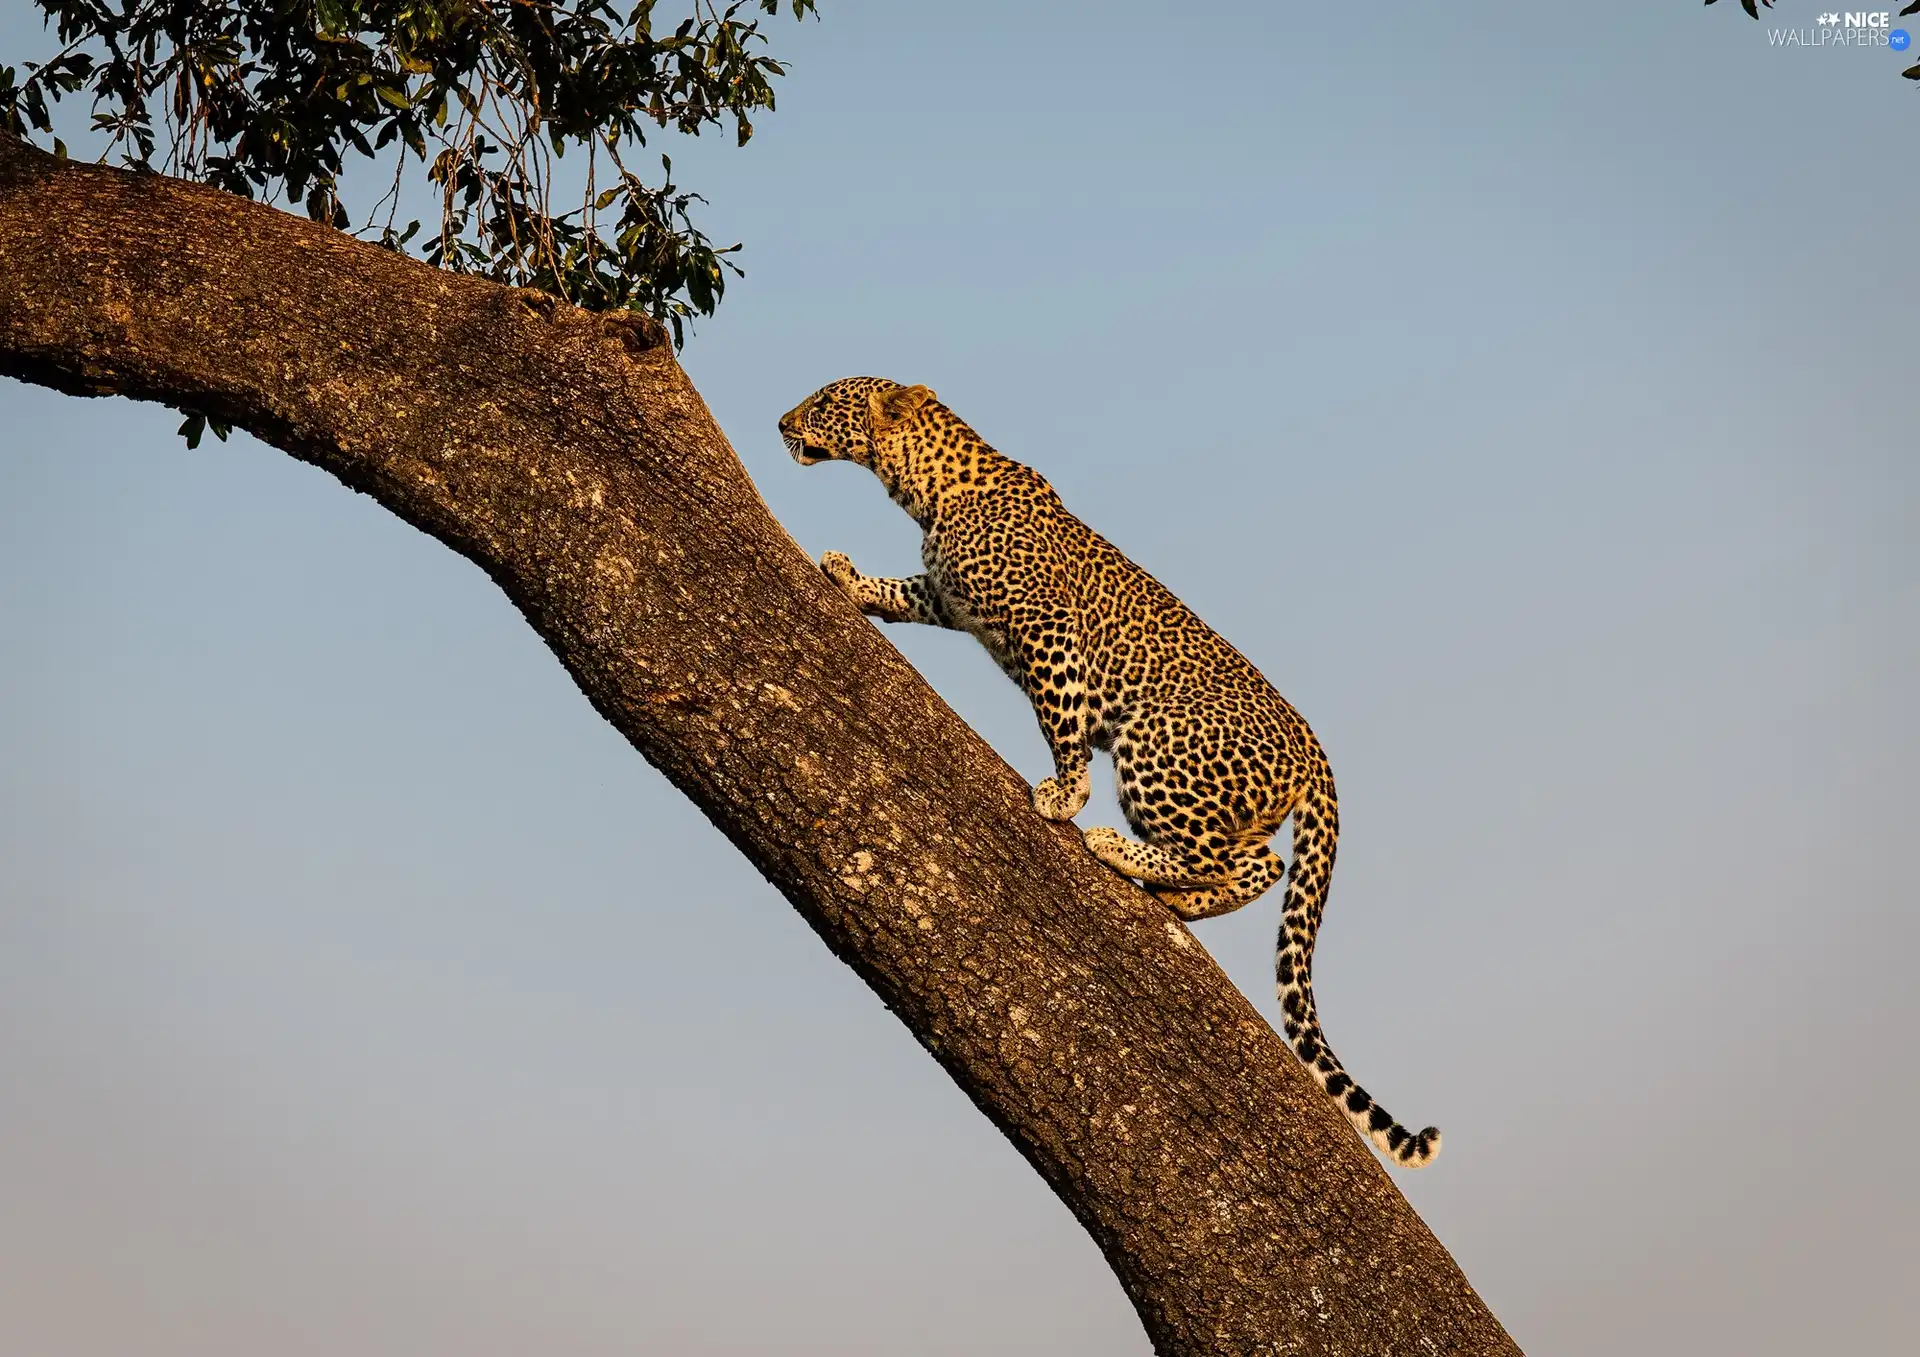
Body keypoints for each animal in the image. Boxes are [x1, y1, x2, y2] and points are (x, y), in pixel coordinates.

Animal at [779, 374, 1443, 1166]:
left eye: (824, 403)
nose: (781, 423)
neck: (928, 490)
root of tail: (1316, 752)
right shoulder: (946, 596)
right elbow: (904, 592)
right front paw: (851, 580)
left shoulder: (1049, 632)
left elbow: (1061, 718)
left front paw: (1065, 794)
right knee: (1255, 864)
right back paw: (1174, 897)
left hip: (1156, 740)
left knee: (1244, 859)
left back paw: (1116, 849)